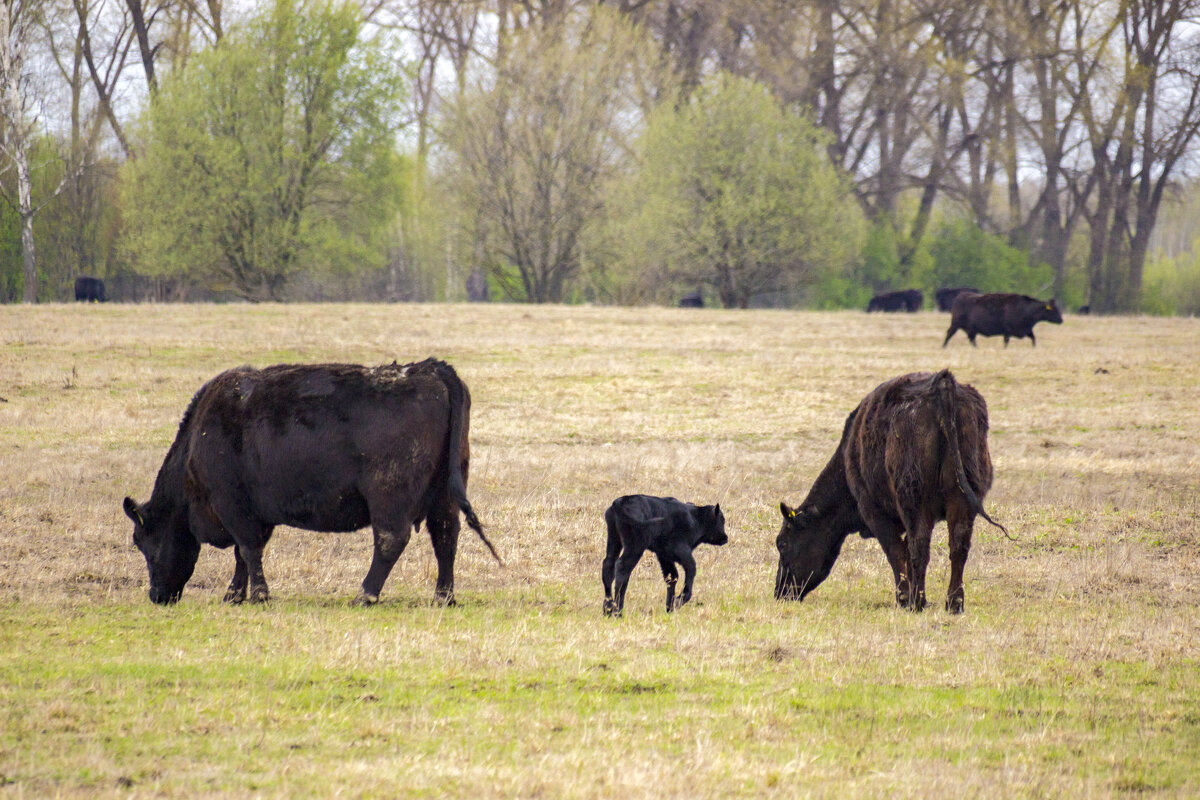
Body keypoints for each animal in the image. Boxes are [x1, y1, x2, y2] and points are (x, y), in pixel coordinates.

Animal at [121, 357, 496, 606]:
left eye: (143, 541)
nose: (156, 596)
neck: (199, 438)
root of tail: (429, 368)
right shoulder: (253, 513)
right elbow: (244, 554)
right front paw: (235, 594)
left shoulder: (232, 505)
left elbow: (248, 549)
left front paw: (257, 595)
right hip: (444, 494)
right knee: (445, 536)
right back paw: (443, 597)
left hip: (389, 494)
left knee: (391, 540)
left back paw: (365, 594)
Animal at [772, 371, 1008, 618]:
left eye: (782, 544)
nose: (779, 592)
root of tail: (942, 382)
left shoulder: (873, 511)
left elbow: (895, 552)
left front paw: (903, 598)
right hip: (962, 499)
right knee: (958, 546)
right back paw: (954, 603)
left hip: (914, 499)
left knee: (919, 546)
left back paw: (916, 602)